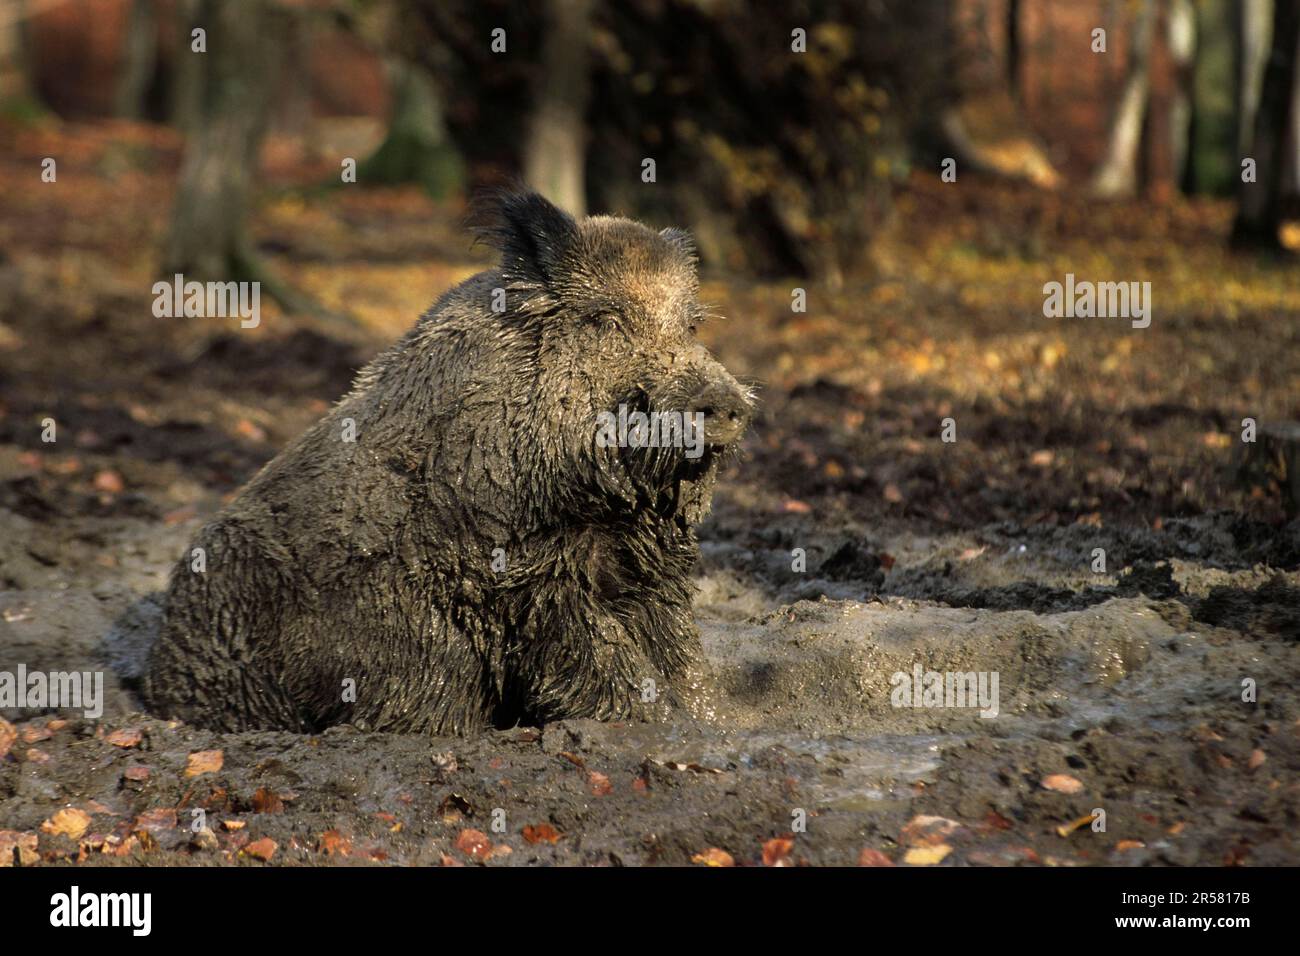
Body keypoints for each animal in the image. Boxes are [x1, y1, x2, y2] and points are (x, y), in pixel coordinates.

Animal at [142, 191, 754, 735]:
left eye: (692, 325)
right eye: (605, 320)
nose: (726, 402)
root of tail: (158, 675)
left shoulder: (652, 567)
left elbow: (682, 658)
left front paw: (723, 727)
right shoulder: (529, 579)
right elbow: (607, 662)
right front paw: (667, 730)